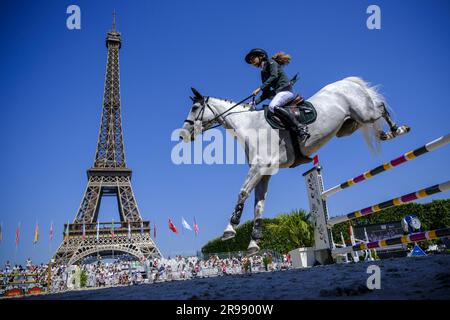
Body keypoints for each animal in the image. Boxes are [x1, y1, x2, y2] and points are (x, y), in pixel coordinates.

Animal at [178, 76, 408, 254]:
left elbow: (242, 193)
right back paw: (384, 134)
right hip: (349, 125)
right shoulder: (265, 173)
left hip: (364, 113)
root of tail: (346, 82)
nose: (182, 135)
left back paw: (397, 129)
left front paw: (229, 230)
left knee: (380, 108)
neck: (250, 126)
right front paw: (253, 243)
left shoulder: (258, 168)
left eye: (195, 107)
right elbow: (258, 206)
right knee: (368, 123)